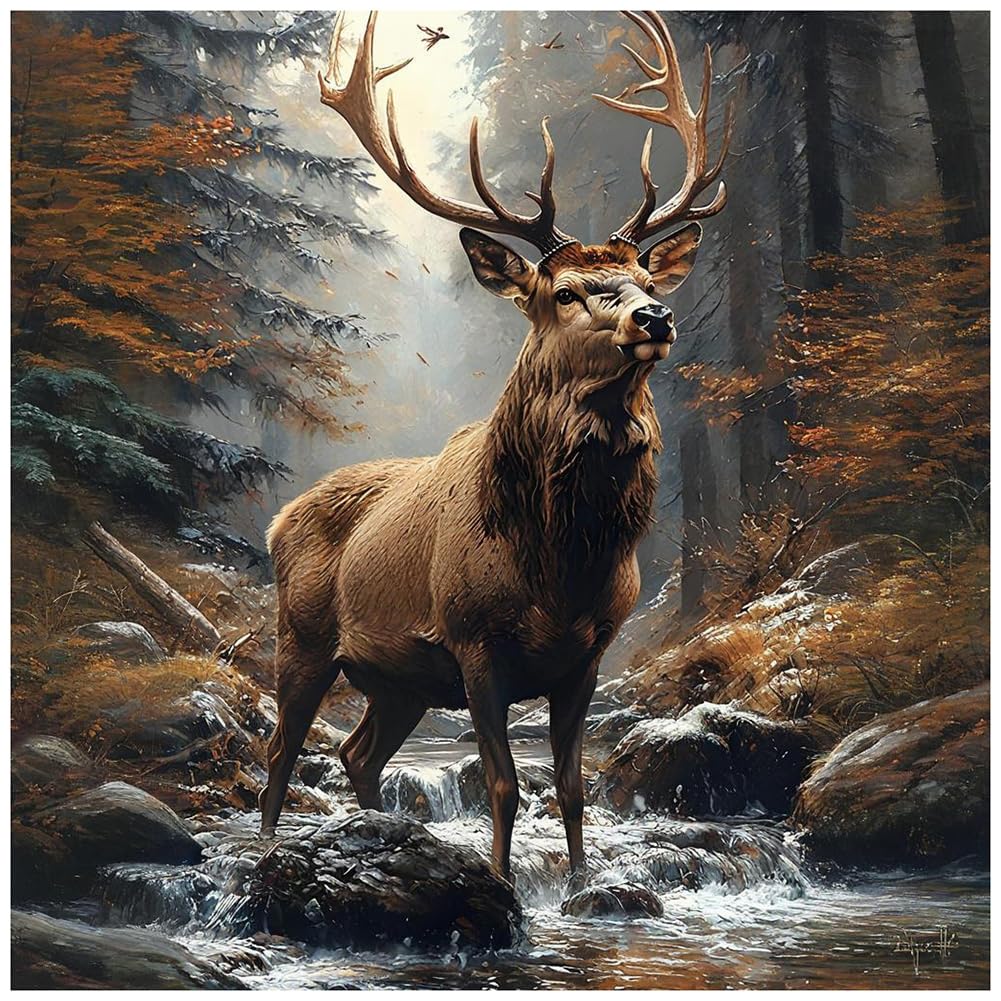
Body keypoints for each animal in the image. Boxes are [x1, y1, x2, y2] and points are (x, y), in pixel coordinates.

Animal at [259, 10, 732, 884]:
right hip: (302, 635)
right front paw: (505, 883)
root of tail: (277, 519)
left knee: (356, 753)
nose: (654, 317)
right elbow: (505, 785)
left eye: (647, 277)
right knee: (279, 749)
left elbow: (574, 788)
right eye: (565, 291)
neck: (557, 566)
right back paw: (270, 846)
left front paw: (578, 882)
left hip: (399, 678)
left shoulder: (589, 655)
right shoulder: (474, 643)